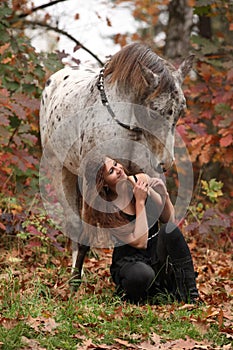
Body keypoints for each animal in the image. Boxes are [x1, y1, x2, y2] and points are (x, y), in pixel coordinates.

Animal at [39, 42, 194, 288]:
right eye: (153, 110)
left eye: (181, 111)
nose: (165, 163)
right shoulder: (92, 178)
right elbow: (85, 235)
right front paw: (75, 283)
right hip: (59, 170)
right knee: (74, 224)